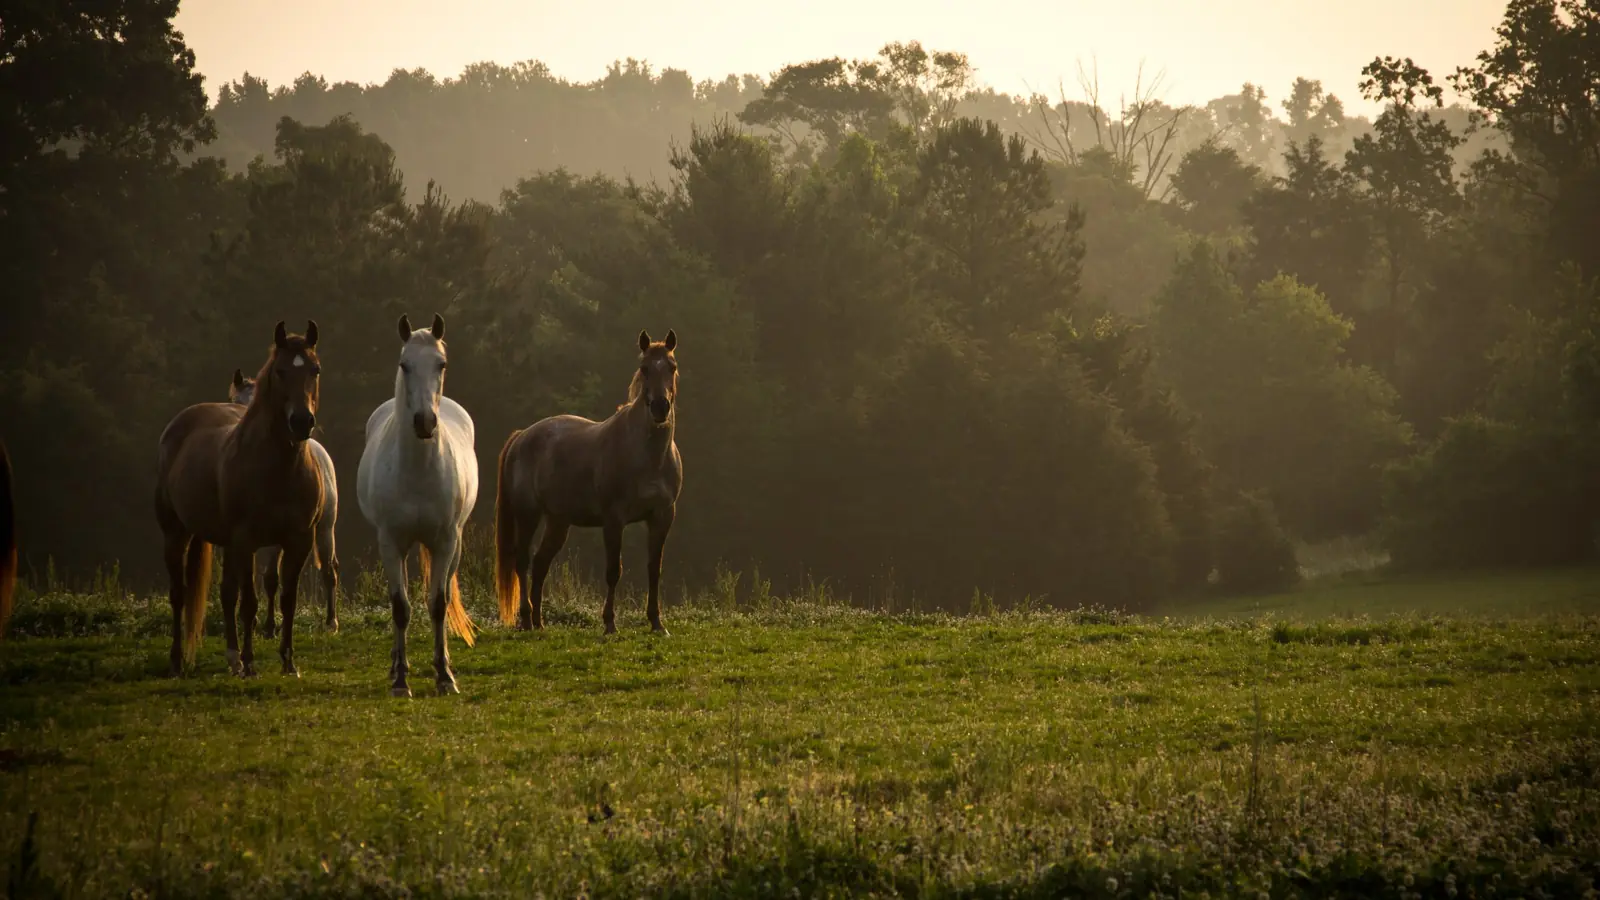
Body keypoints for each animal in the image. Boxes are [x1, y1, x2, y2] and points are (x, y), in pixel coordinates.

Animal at [154, 321, 325, 677]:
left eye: (315, 369)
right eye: (279, 371)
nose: (301, 422)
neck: (280, 469)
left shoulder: (299, 540)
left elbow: (287, 599)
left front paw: (288, 661)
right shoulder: (247, 540)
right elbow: (249, 603)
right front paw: (250, 662)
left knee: (226, 593)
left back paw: (231, 657)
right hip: (176, 533)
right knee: (179, 594)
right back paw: (178, 660)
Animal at [228, 369, 340, 636]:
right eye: (235, 402)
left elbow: (270, 579)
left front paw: (269, 626)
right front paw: (249, 621)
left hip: (325, 528)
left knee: (329, 569)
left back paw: (331, 622)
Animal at [356, 314, 479, 697]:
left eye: (441, 364)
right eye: (404, 364)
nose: (425, 422)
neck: (418, 472)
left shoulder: (445, 541)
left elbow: (438, 605)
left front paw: (445, 677)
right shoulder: (391, 542)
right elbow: (400, 607)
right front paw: (400, 679)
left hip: (453, 547)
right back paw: (396, 662)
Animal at [494, 329, 683, 636]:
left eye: (672, 367)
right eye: (644, 368)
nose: (659, 407)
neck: (647, 456)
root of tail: (522, 436)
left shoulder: (662, 516)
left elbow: (654, 569)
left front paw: (657, 623)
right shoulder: (614, 519)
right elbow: (613, 571)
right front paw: (609, 623)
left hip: (558, 522)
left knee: (541, 563)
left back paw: (539, 622)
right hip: (528, 515)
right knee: (522, 562)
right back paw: (526, 619)